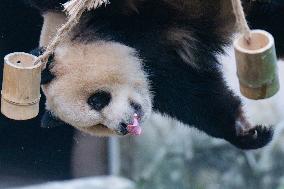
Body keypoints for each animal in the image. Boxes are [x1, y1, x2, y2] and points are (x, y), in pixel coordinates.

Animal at [22, 0, 284, 150]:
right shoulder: (161, 70)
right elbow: (199, 98)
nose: (124, 126)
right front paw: (246, 133)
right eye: (99, 125)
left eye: (97, 100)